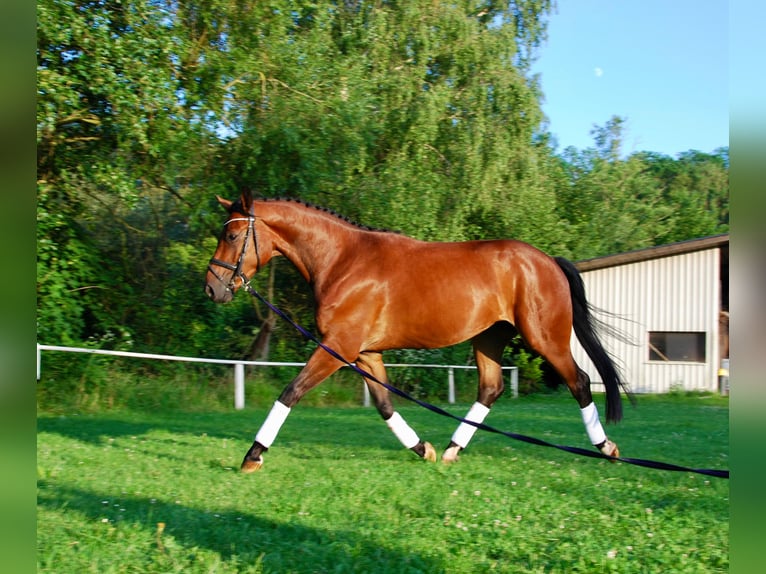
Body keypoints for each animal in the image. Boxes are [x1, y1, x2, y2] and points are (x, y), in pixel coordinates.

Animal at [205, 190, 629, 473]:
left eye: (231, 236)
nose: (212, 288)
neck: (343, 261)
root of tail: (548, 261)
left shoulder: (338, 347)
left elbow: (290, 392)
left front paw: (253, 455)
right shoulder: (364, 353)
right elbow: (384, 405)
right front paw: (421, 448)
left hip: (545, 338)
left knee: (579, 381)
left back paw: (606, 447)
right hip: (489, 339)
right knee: (491, 389)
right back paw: (451, 450)